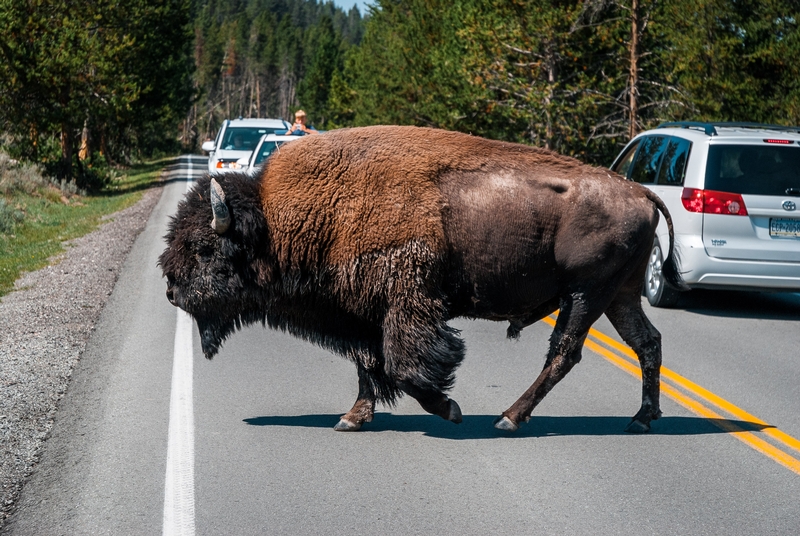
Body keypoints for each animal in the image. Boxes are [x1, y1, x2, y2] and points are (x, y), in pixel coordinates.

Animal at [159, 126, 684, 436]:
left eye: (204, 248)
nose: (170, 290)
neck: (279, 221)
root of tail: (641, 192)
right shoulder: (358, 313)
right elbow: (368, 364)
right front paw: (352, 418)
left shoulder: (406, 306)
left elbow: (404, 366)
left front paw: (448, 408)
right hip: (619, 295)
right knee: (647, 342)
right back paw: (641, 419)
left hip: (584, 294)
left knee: (565, 352)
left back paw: (509, 418)